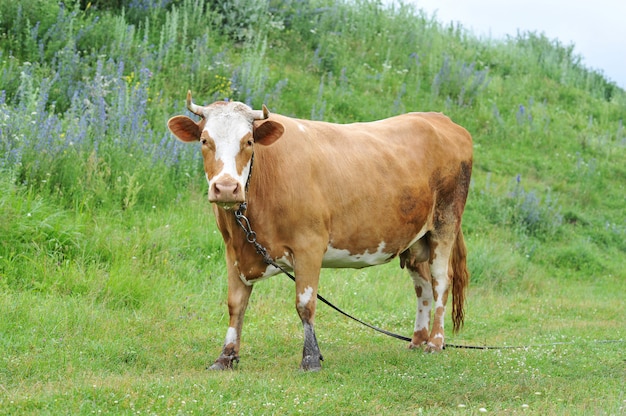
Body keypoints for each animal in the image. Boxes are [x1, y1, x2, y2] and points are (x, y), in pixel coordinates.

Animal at [168, 92, 470, 372]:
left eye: (249, 142)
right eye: (204, 141)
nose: (227, 188)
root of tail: (440, 119)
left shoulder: (309, 246)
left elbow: (305, 304)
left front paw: (311, 357)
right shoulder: (234, 250)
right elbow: (235, 304)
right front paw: (226, 357)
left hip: (444, 224)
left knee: (441, 281)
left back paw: (435, 342)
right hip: (415, 240)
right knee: (422, 286)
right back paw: (417, 340)